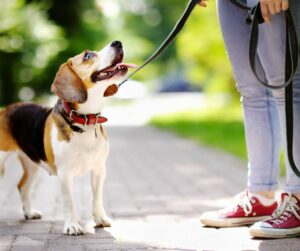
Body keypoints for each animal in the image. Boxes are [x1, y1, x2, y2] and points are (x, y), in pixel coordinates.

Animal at [0, 40, 135, 234]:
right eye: (88, 55)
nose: (118, 42)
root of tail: (5, 109)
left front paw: (100, 219)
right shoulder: (65, 174)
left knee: (22, 186)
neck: (85, 121)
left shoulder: (99, 169)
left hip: (32, 163)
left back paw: (29, 213)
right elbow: (69, 202)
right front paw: (72, 225)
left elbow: (96, 198)